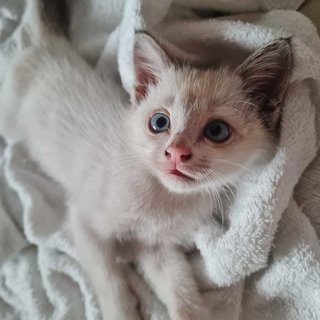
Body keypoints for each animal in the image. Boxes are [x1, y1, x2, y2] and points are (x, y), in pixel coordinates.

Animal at [0, 1, 292, 318]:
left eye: (217, 130)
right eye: (159, 122)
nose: (176, 152)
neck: (163, 200)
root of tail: (49, 44)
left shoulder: (157, 248)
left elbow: (181, 291)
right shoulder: (84, 223)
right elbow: (111, 283)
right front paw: (121, 311)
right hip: (10, 119)